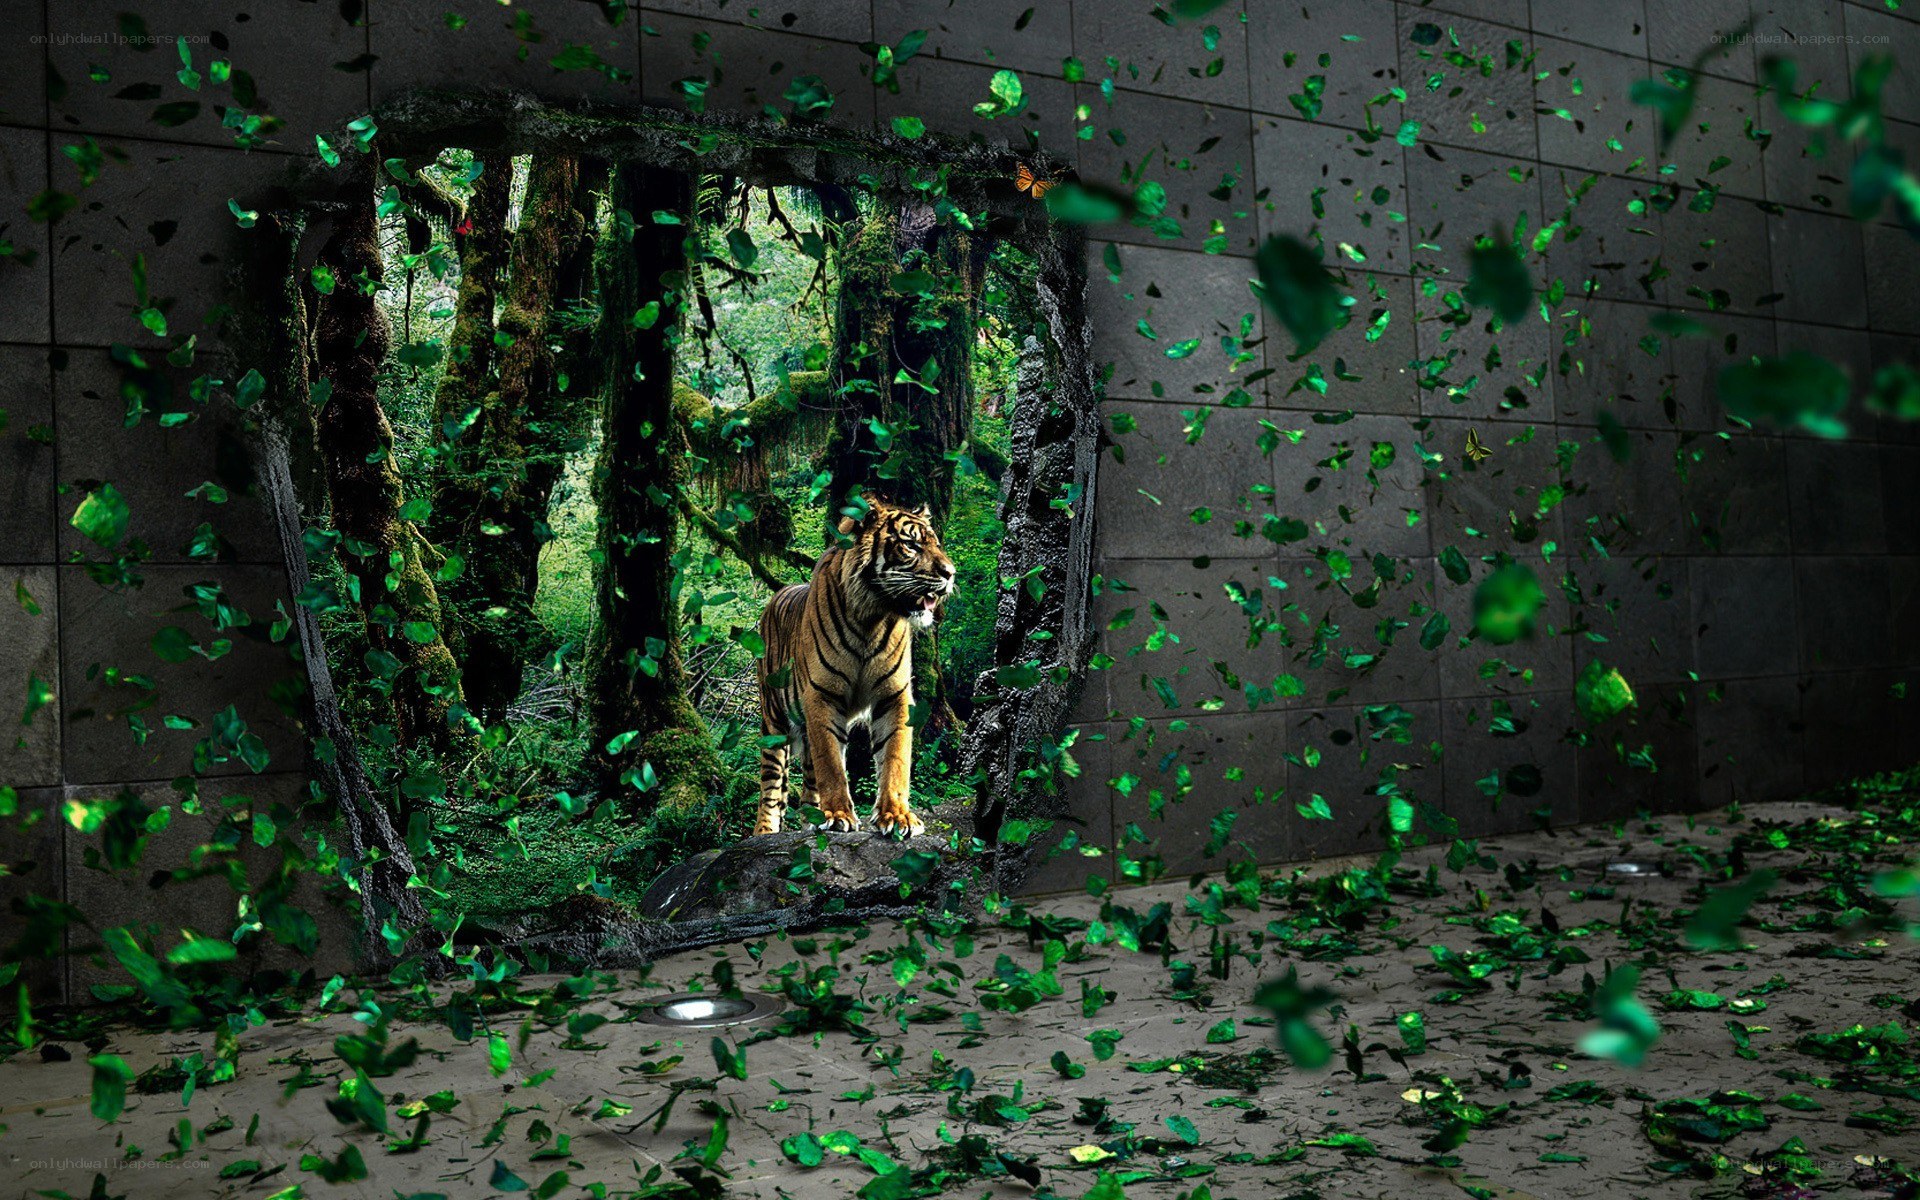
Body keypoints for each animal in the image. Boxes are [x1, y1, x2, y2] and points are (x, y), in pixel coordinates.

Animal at [751, 496, 956, 838]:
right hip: (774, 722)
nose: (951, 574)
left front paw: (897, 816)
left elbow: (895, 757)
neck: (871, 617)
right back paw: (765, 832)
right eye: (911, 544)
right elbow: (831, 764)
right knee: (771, 786)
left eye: (936, 545)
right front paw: (838, 815)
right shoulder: (822, 695)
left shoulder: (894, 696)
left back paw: (811, 820)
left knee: (808, 782)